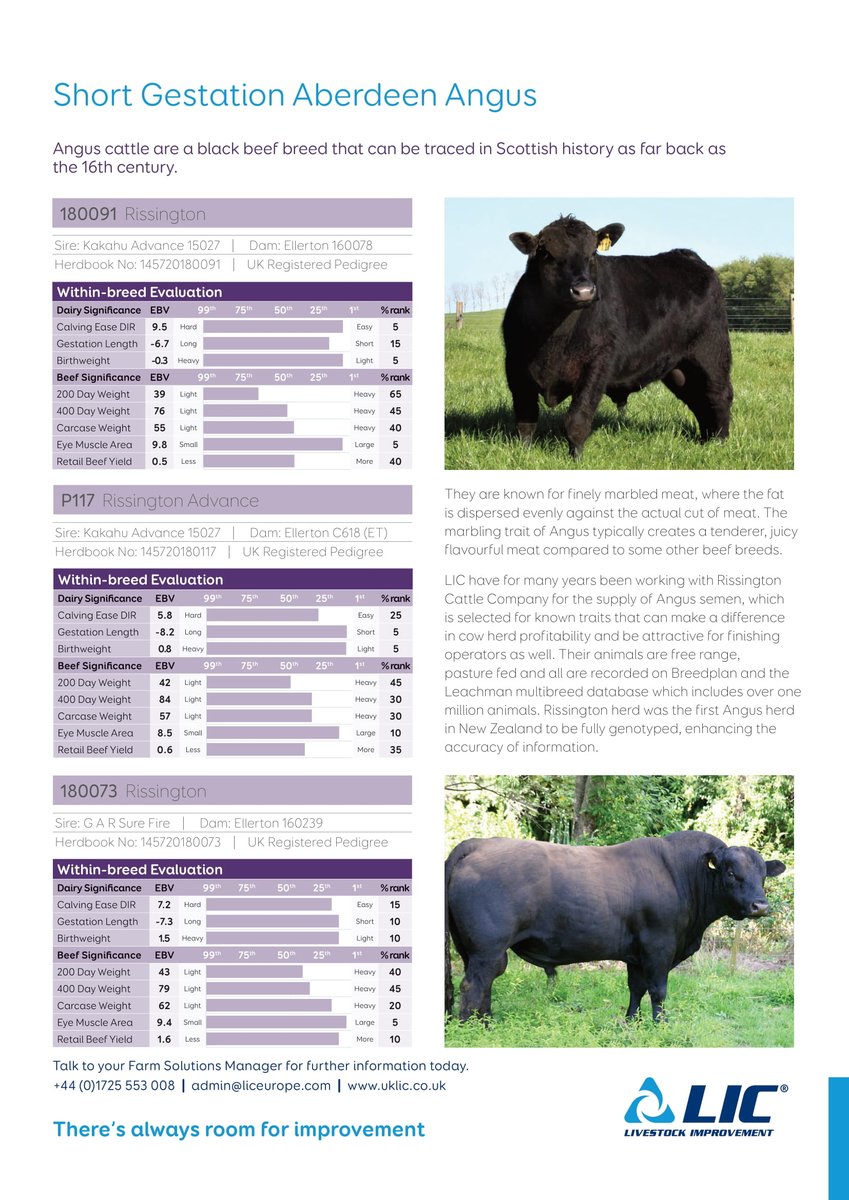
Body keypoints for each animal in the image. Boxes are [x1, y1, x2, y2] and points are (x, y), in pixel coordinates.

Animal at [445, 831, 785, 1022]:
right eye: (731, 872)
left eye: (762, 875)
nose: (760, 905)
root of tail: (476, 844)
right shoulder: (659, 946)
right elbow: (658, 991)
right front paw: (660, 1026)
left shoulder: (637, 953)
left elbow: (636, 988)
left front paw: (632, 1022)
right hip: (488, 948)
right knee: (474, 985)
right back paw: (474, 1027)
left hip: (471, 949)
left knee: (481, 985)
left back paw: (486, 1022)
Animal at [501, 215, 733, 456]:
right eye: (547, 253)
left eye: (593, 253)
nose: (584, 291)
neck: (554, 338)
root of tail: (686, 255)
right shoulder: (515, 366)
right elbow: (525, 420)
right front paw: (524, 453)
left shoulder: (598, 363)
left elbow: (576, 420)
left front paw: (576, 457)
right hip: (679, 368)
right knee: (698, 399)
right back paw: (705, 440)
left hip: (711, 355)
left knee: (718, 395)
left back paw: (720, 442)